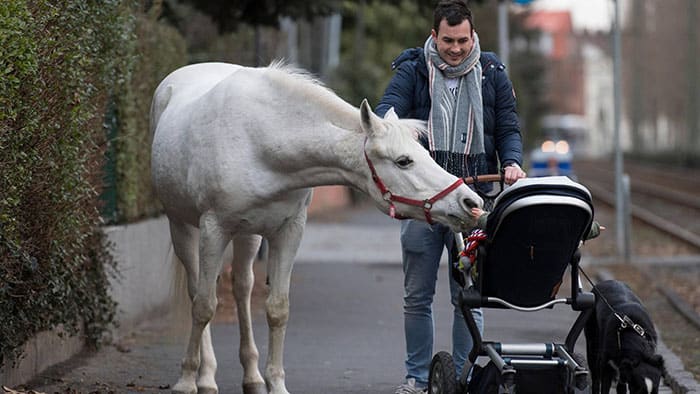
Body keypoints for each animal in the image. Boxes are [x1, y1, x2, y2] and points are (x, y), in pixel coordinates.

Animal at [150, 62, 484, 394]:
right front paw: (186, 380)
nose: (470, 202)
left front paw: (276, 383)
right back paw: (204, 376)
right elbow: (204, 306)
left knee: (242, 288)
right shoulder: (213, 229)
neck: (260, 141)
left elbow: (277, 309)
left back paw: (252, 376)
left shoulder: (289, 232)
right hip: (183, 227)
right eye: (404, 161)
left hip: (248, 235)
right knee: (197, 290)